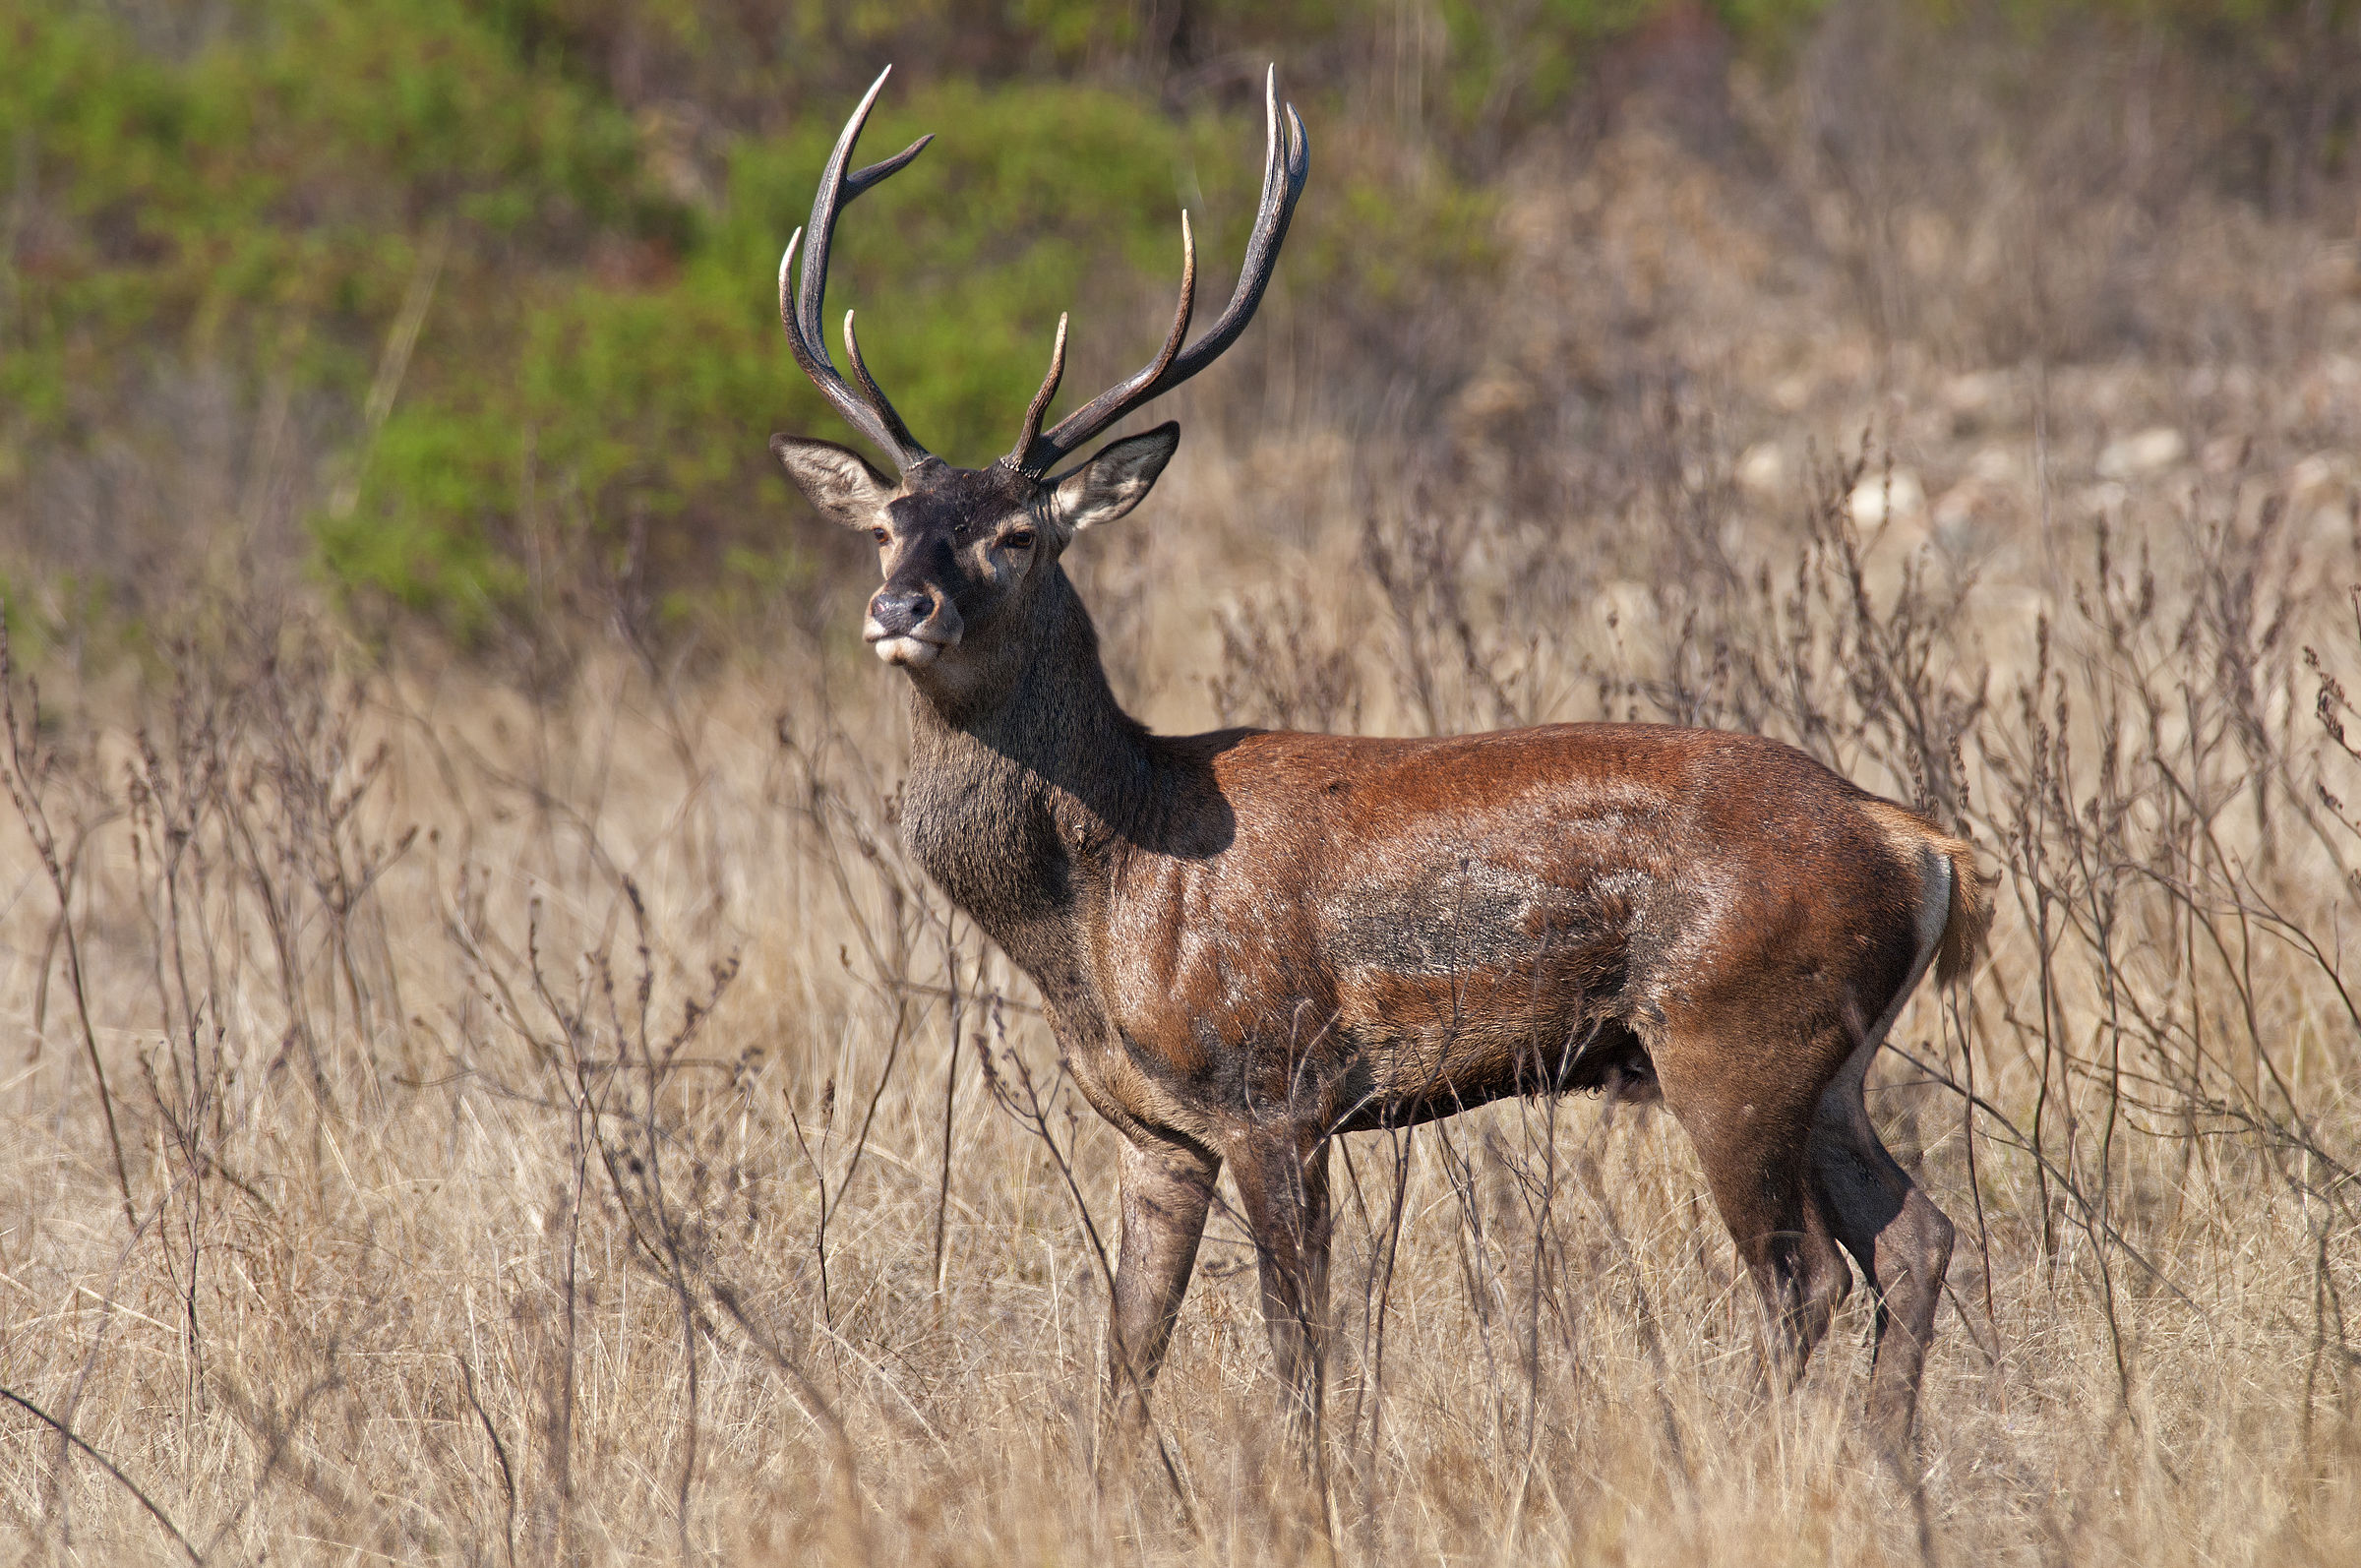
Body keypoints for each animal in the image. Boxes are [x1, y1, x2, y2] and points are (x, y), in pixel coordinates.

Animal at [769, 65, 1990, 1467]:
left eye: (1019, 535)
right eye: (885, 524)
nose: (901, 606)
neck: (1101, 896)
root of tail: (1919, 843)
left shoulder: (1274, 1088)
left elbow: (1298, 1345)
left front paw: (1306, 1487)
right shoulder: (1153, 1132)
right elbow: (1128, 1354)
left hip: (1732, 1034)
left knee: (1806, 1279)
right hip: (1832, 1061)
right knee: (1919, 1238)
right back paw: (1888, 1468)